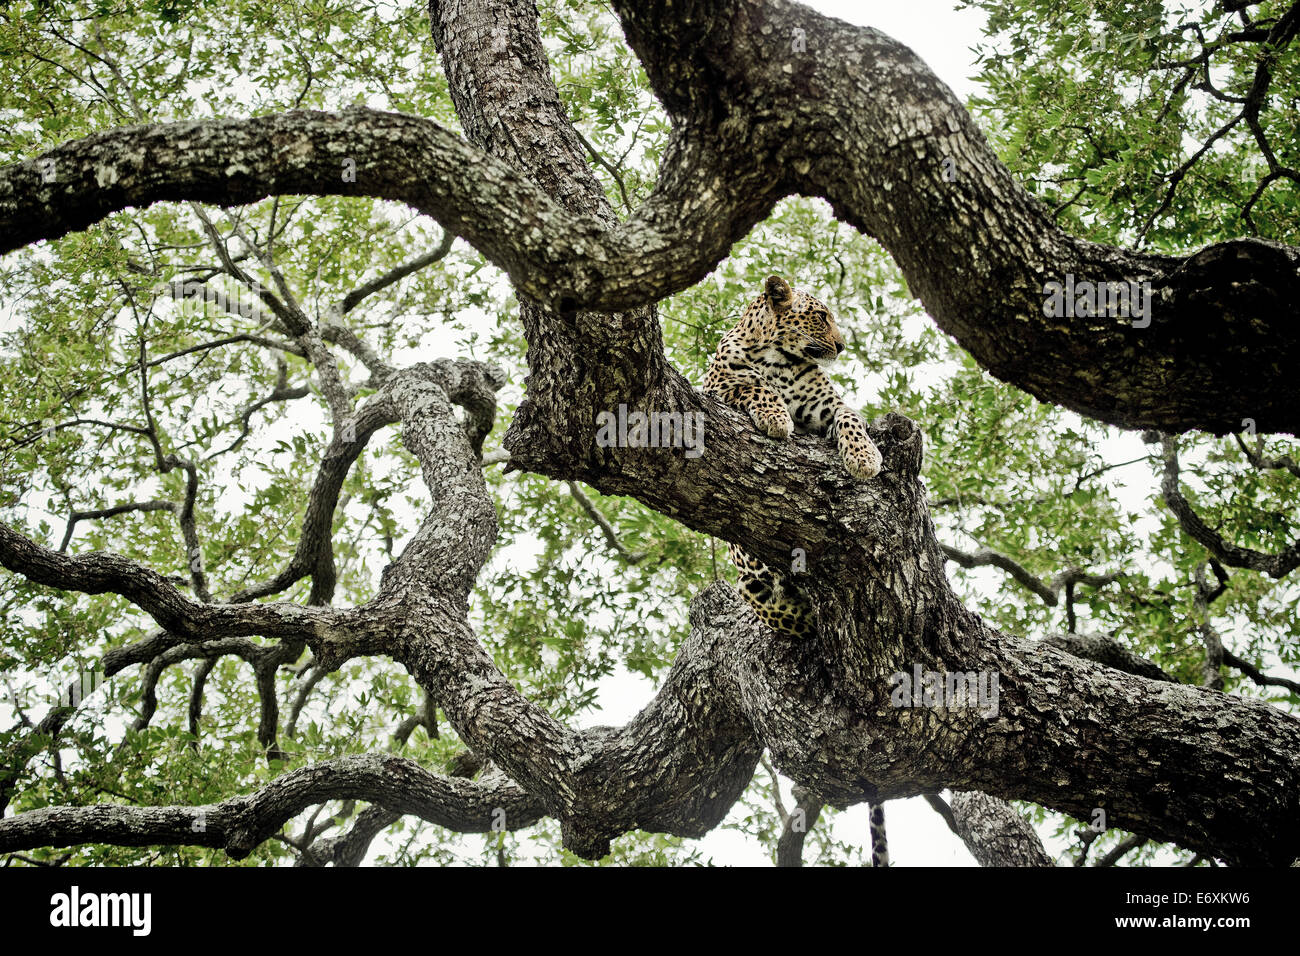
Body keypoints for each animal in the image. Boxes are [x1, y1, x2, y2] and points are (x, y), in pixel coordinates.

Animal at [707, 274, 889, 868]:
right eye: (821, 316)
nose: (843, 344)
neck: (780, 357)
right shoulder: (715, 385)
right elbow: (749, 387)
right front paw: (773, 417)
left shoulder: (829, 403)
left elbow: (851, 416)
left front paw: (864, 458)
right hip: (753, 582)